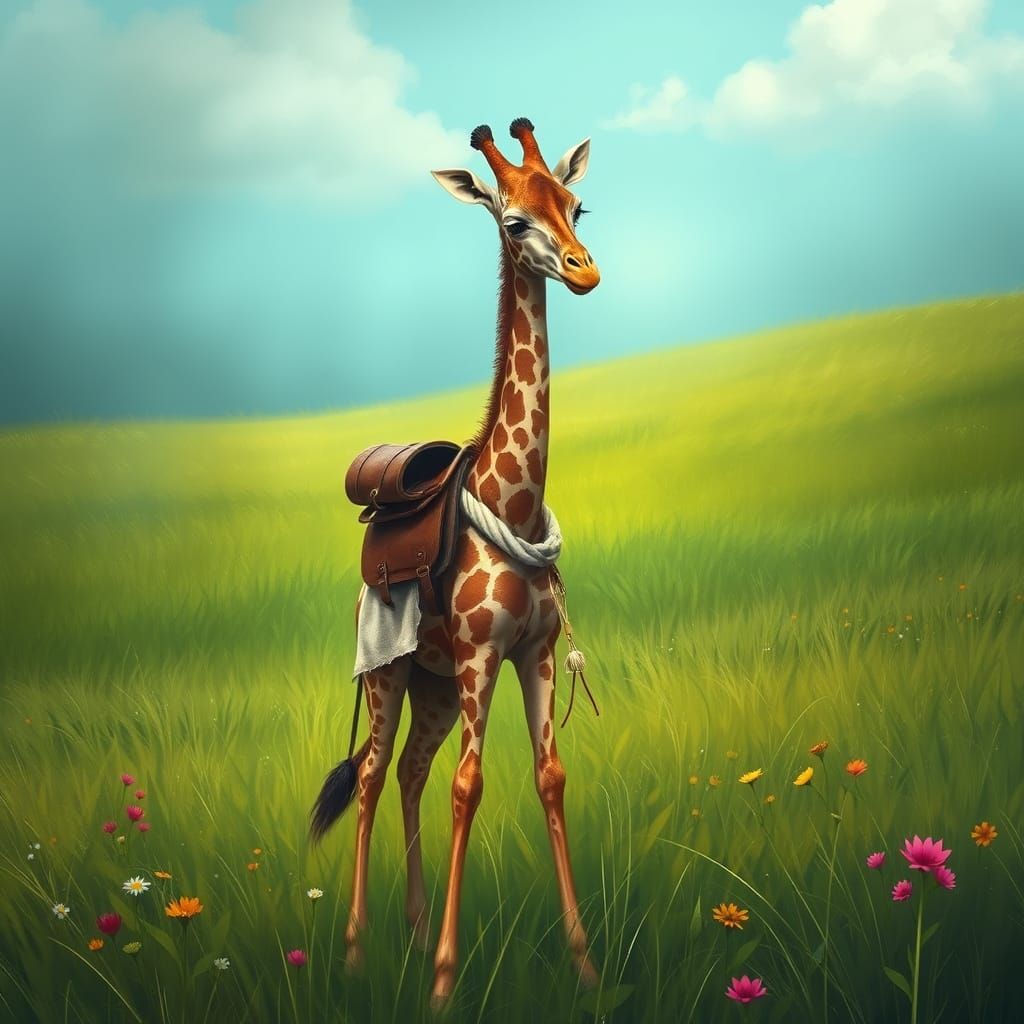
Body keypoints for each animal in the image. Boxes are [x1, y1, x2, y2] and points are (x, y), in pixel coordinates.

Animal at [310, 117, 600, 1009]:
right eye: (513, 222)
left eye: (578, 204)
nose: (584, 269)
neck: (515, 503)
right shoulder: (480, 658)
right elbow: (471, 788)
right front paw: (443, 982)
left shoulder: (533, 652)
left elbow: (550, 777)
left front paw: (585, 966)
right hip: (390, 673)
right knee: (373, 775)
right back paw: (359, 952)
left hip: (431, 684)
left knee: (409, 771)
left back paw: (406, 931)